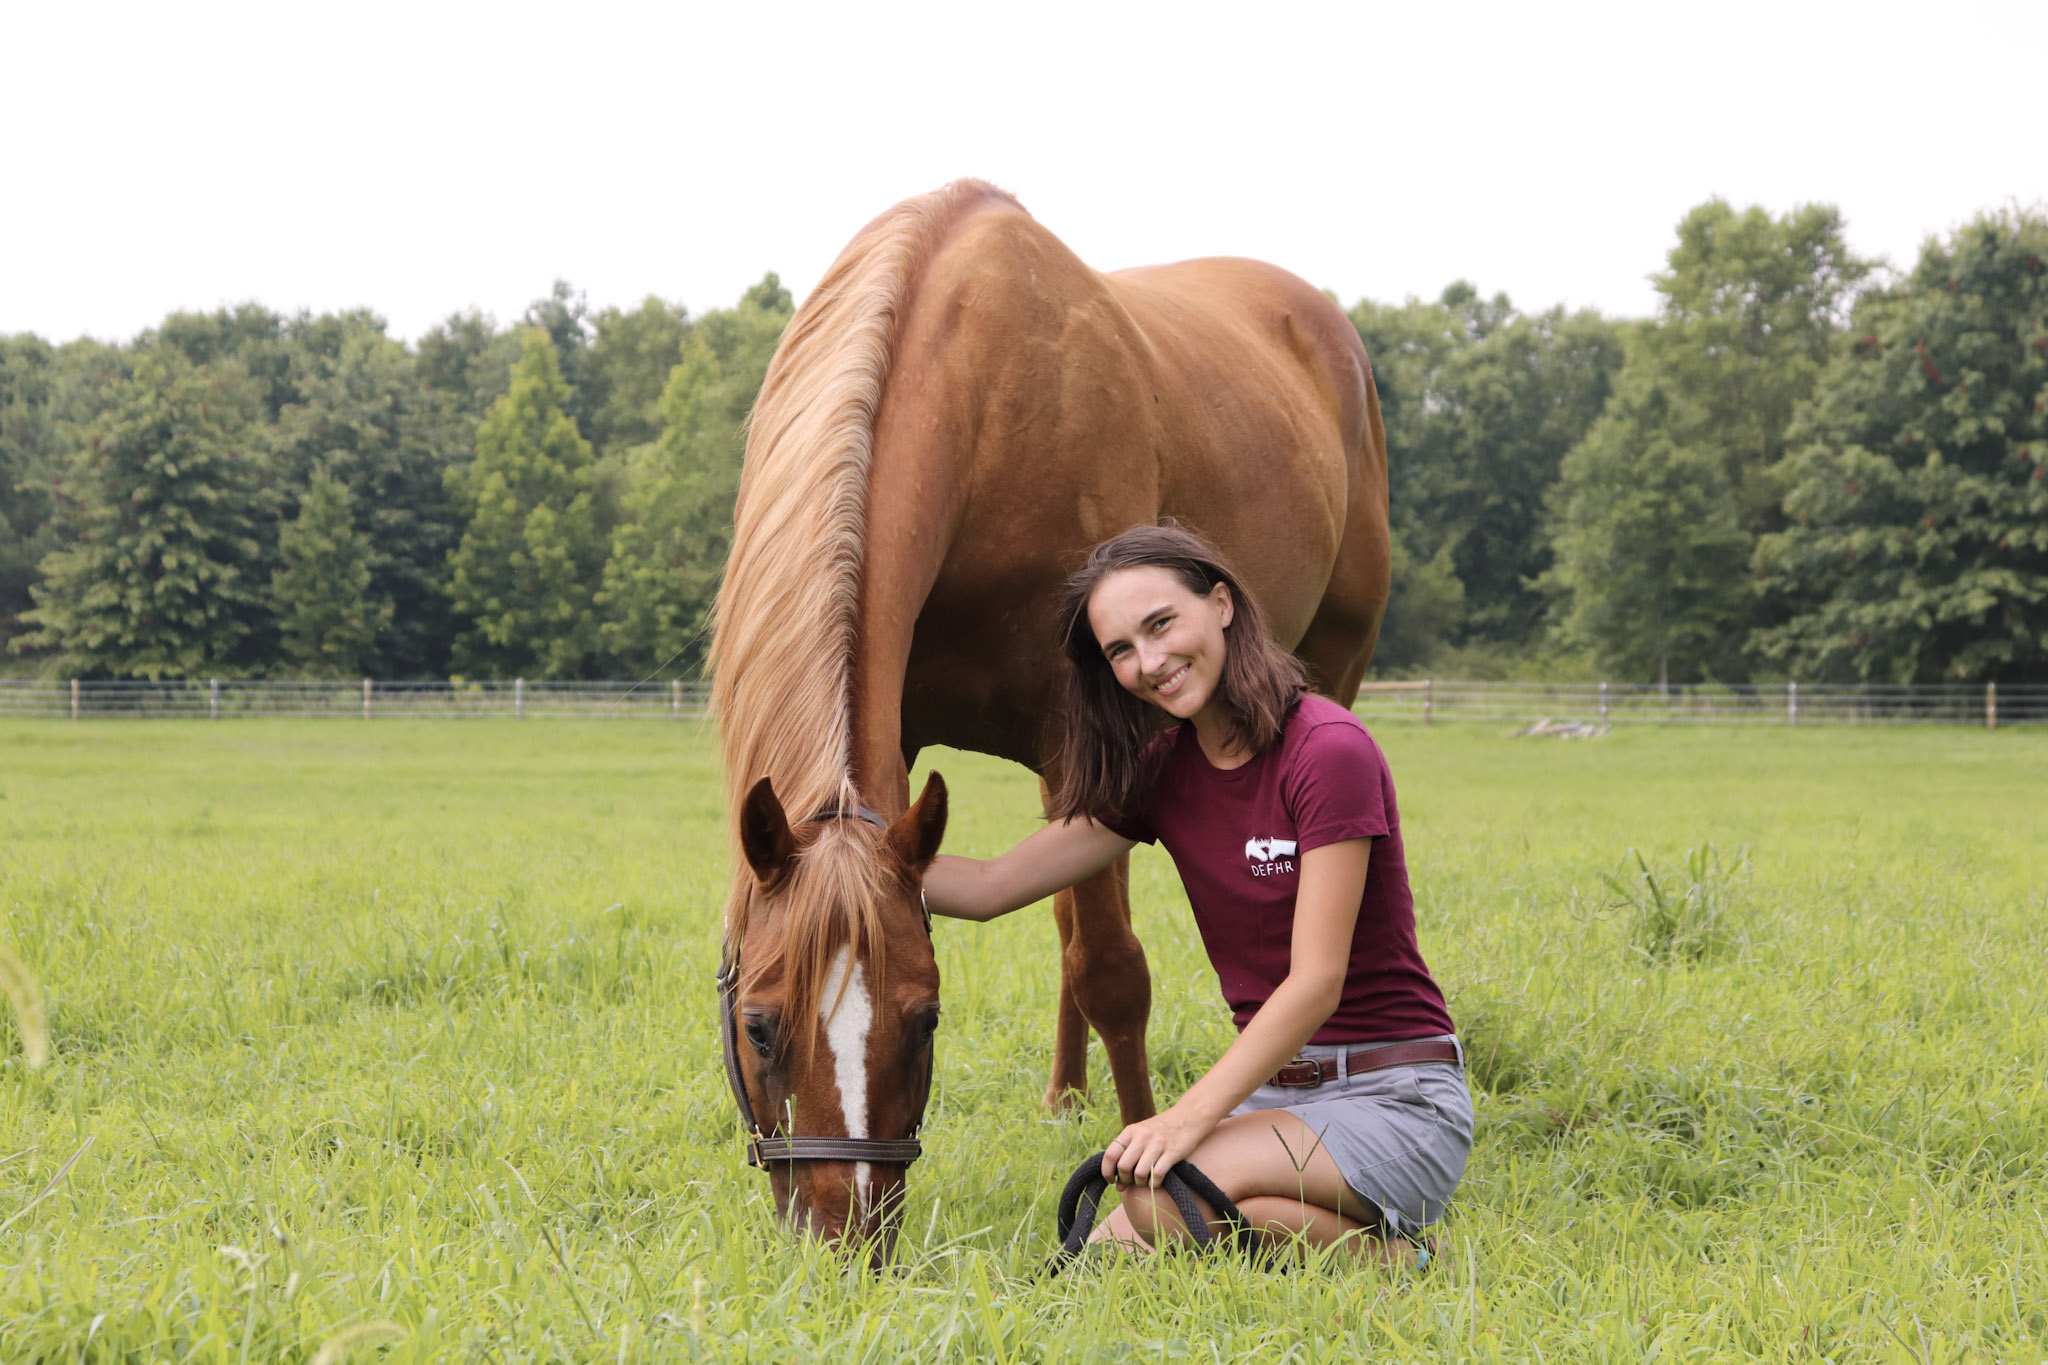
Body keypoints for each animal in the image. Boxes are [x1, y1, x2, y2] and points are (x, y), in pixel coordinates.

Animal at [709, 179, 1389, 1254]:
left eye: (927, 1017)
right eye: (761, 1023)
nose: (845, 1239)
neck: (984, 395)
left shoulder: (1076, 734)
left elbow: (1112, 967)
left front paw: (1150, 1174)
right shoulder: (912, 743)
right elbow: (1073, 930)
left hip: (1332, 667)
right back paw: (1067, 1095)